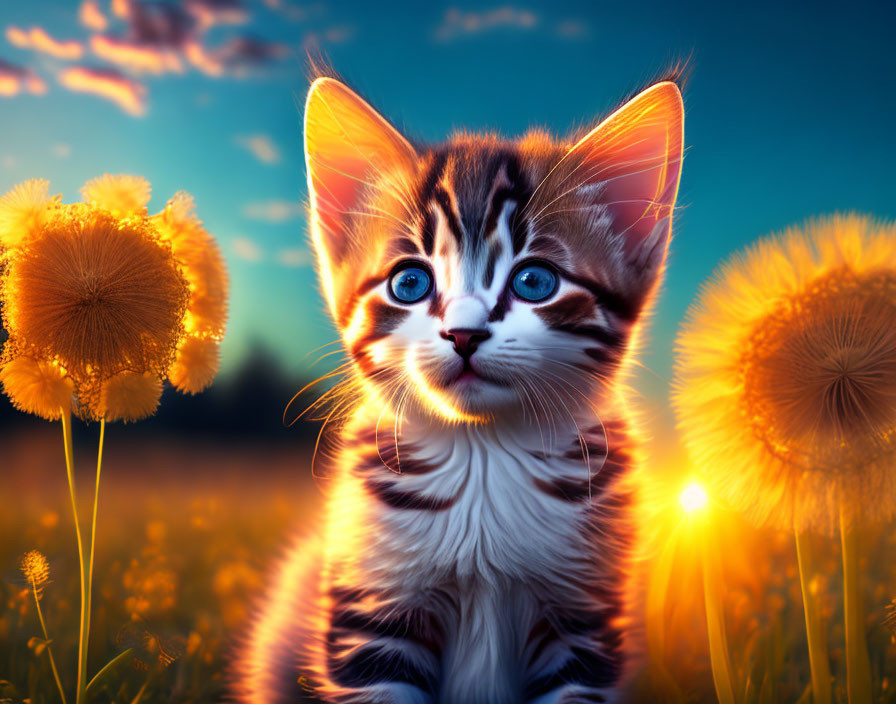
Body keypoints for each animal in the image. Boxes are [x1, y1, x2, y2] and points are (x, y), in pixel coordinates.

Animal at [234, 74, 684, 700]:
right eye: (409, 283)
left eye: (535, 281)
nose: (464, 333)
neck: (483, 454)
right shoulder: (373, 605)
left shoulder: (584, 618)